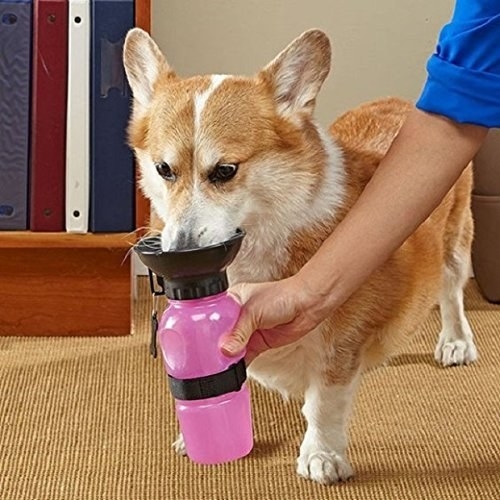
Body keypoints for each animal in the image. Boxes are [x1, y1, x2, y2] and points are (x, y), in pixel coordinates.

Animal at [123, 28, 478, 484]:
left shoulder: (339, 342)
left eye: (225, 171)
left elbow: (325, 401)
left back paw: (456, 342)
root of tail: (402, 102)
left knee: (451, 293)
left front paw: (322, 455)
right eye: (164, 169)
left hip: (455, 243)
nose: (181, 253)